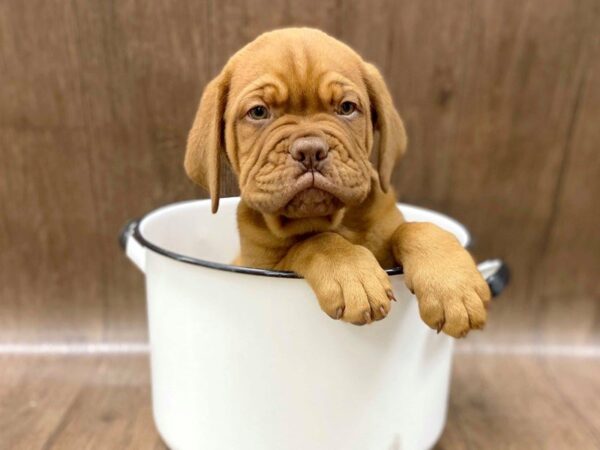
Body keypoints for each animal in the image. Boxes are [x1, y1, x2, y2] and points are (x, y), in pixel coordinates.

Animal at [185, 27, 490, 338]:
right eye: (258, 112)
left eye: (346, 107)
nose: (310, 151)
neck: (335, 221)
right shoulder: (263, 264)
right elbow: (314, 242)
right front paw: (351, 271)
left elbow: (416, 229)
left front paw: (452, 284)